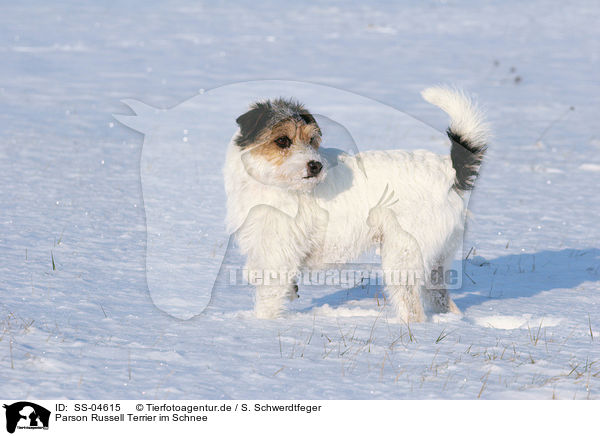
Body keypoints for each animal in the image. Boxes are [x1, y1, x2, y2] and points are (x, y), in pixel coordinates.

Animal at [223, 87, 490, 322]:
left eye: (311, 139)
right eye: (282, 140)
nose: (315, 166)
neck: (275, 184)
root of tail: (449, 171)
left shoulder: (279, 255)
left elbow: (268, 296)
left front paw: (263, 325)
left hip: (403, 256)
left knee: (413, 309)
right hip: (434, 261)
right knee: (441, 297)